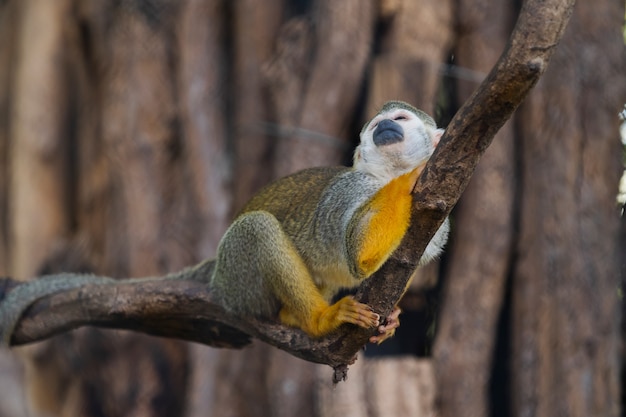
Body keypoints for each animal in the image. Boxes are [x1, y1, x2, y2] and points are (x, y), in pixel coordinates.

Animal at [0, 100, 448, 344]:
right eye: (375, 127)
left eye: (399, 120)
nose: (383, 127)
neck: (382, 175)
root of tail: (216, 272)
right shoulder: (351, 189)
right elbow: (360, 256)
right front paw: (409, 179)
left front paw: (391, 319)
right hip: (240, 282)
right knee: (256, 227)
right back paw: (317, 320)